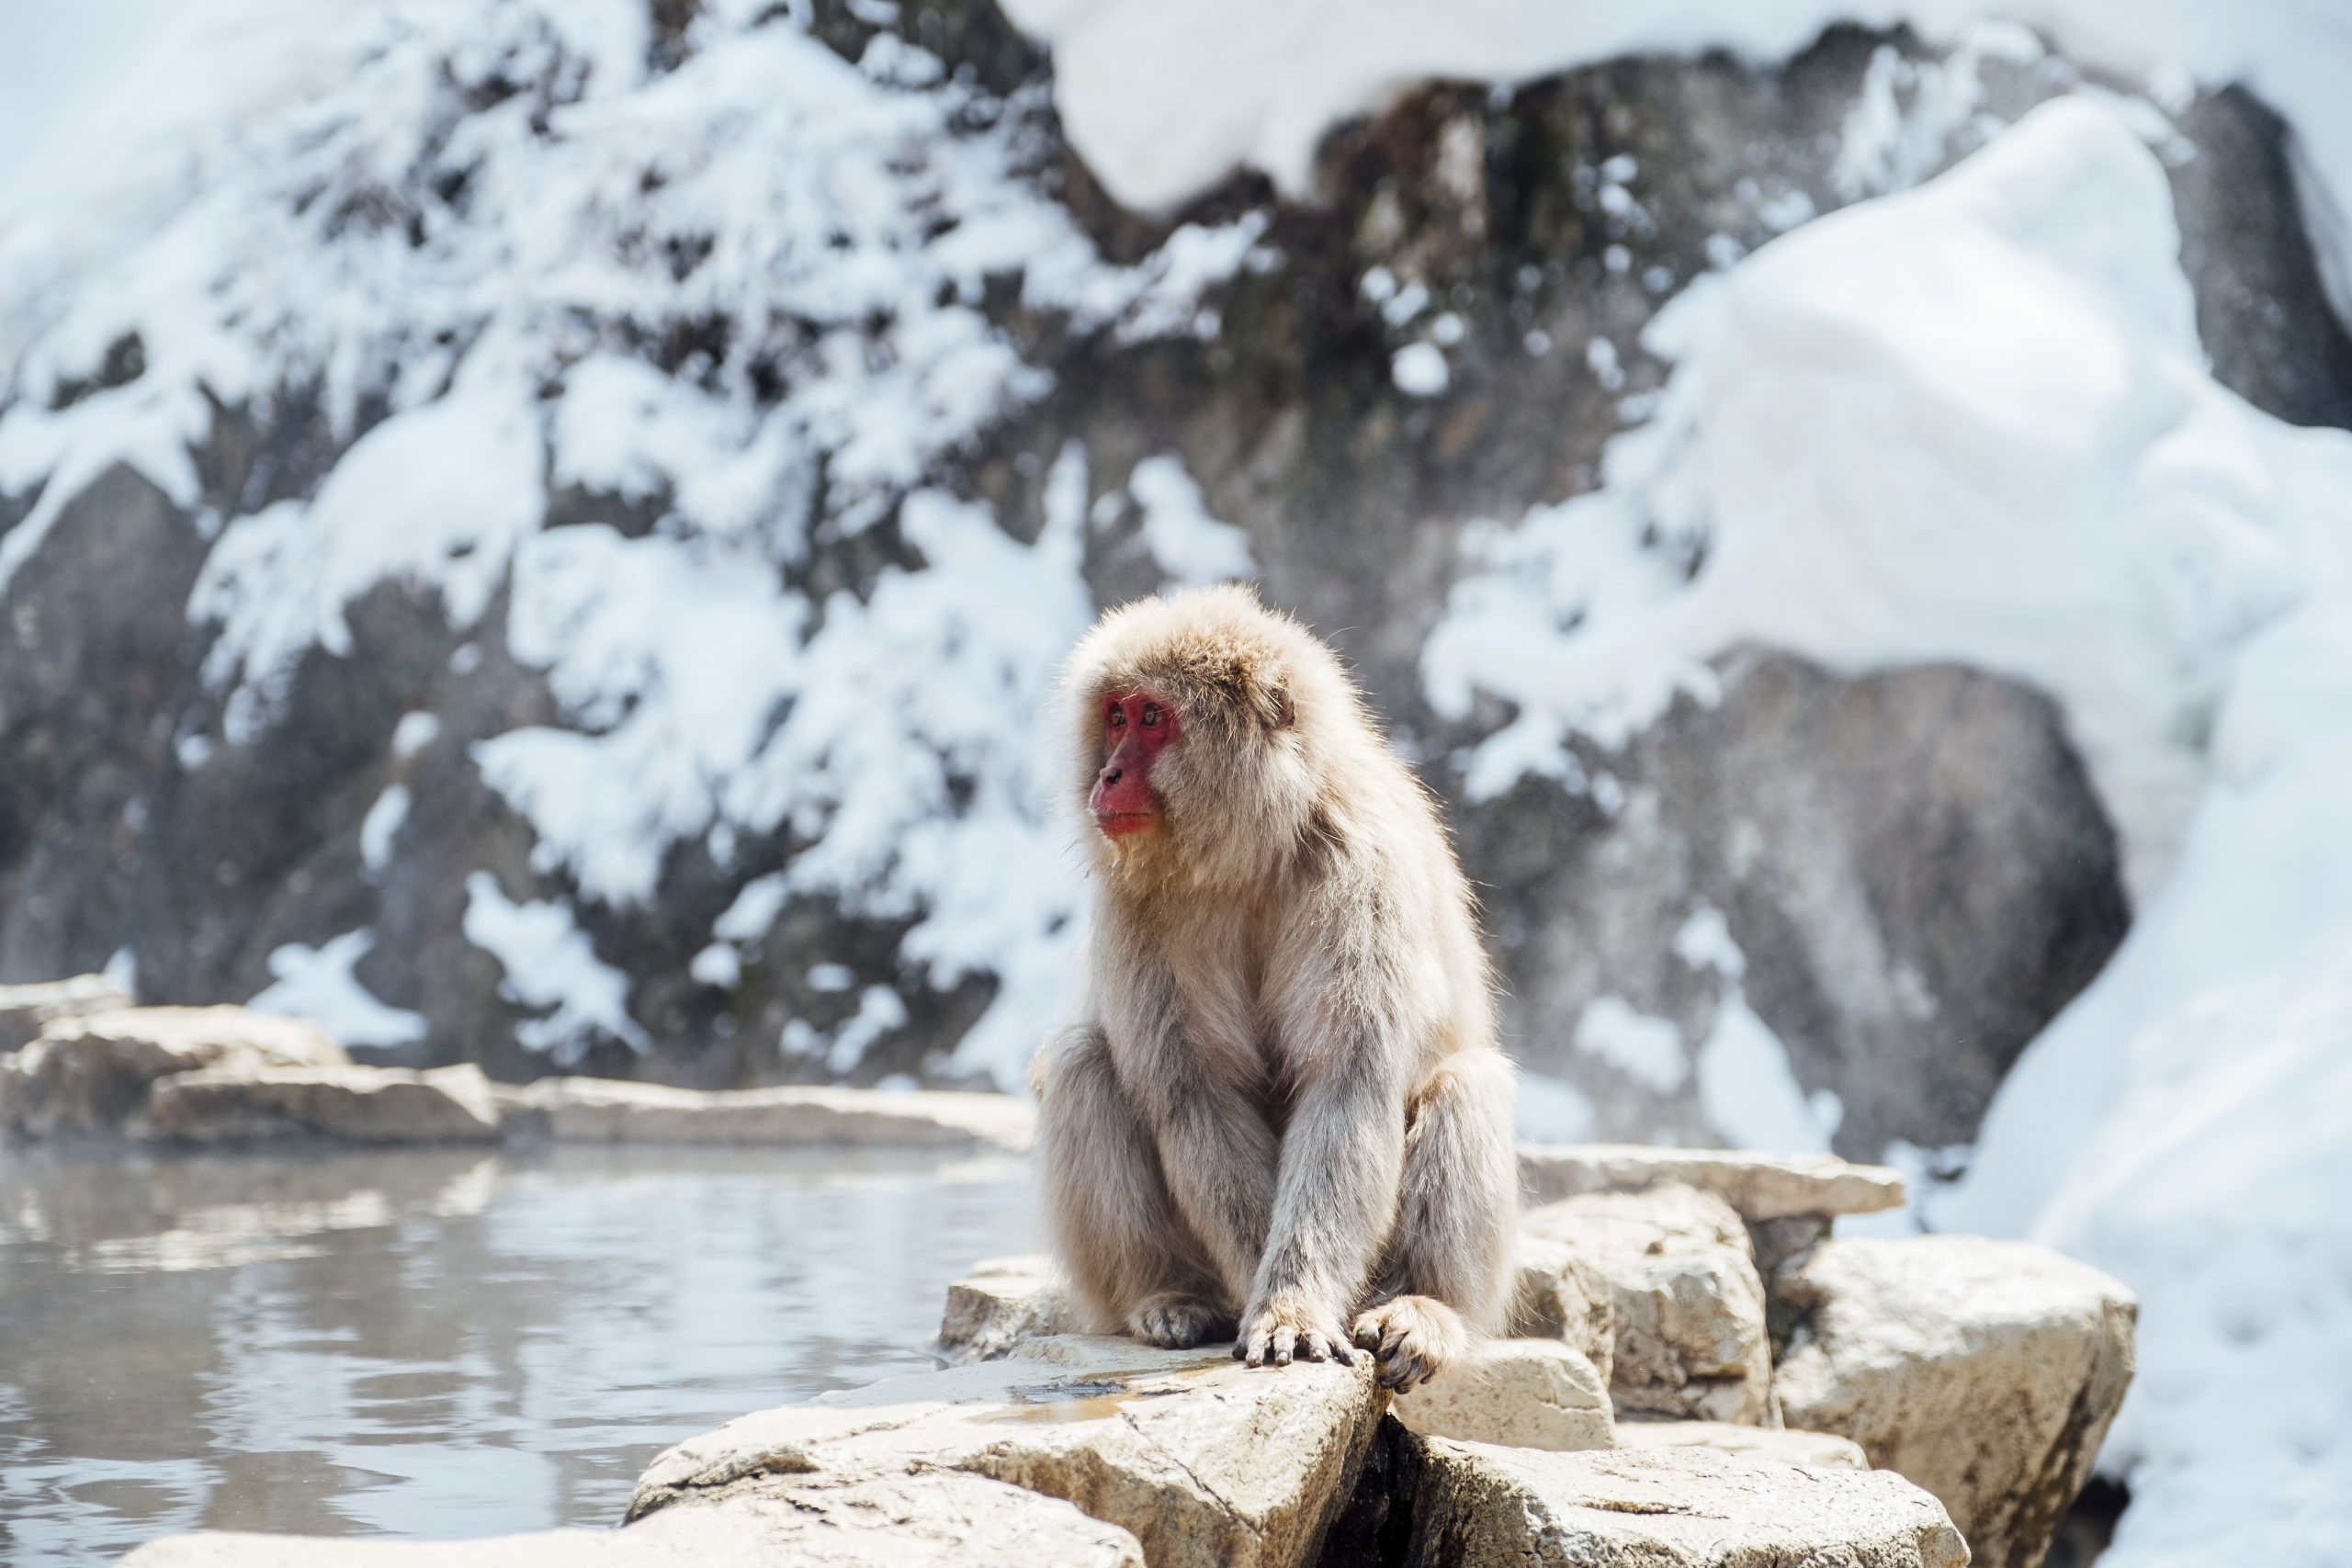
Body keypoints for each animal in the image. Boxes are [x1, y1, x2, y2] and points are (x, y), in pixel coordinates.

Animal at [1035, 585, 1514, 1382]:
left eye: (1153, 717)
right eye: (1115, 716)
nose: (1107, 777)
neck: (1251, 852)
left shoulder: (1363, 870)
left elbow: (1347, 1084)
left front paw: (1291, 1302)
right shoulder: (1138, 905)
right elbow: (1197, 1091)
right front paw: (1277, 1305)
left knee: (1467, 1081)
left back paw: (1424, 1308)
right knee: (1081, 1062)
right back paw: (1171, 1293)